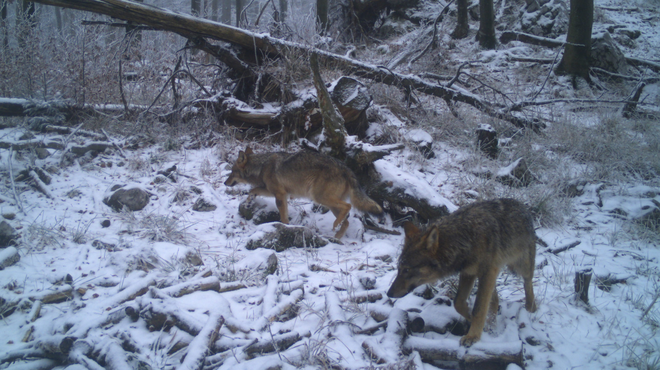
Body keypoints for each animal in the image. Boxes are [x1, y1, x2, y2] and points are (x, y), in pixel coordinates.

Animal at [223, 146, 382, 238]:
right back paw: (336, 236)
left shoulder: (279, 195)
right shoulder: (276, 192)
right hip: (329, 204)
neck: (261, 166)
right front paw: (249, 201)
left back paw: (336, 228)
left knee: (348, 207)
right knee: (346, 221)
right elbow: (252, 190)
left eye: (232, 172)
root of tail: (347, 169)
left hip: (320, 198)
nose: (225, 183)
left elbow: (283, 216)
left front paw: (286, 227)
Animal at [386, 199, 536, 346]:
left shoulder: (486, 272)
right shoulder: (468, 273)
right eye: (399, 268)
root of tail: (523, 206)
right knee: (495, 300)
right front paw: (470, 317)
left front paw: (472, 336)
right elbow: (458, 302)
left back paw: (530, 309)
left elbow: (479, 308)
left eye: (406, 270)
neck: (466, 238)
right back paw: (491, 324)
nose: (389, 293)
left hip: (521, 266)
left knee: (528, 284)